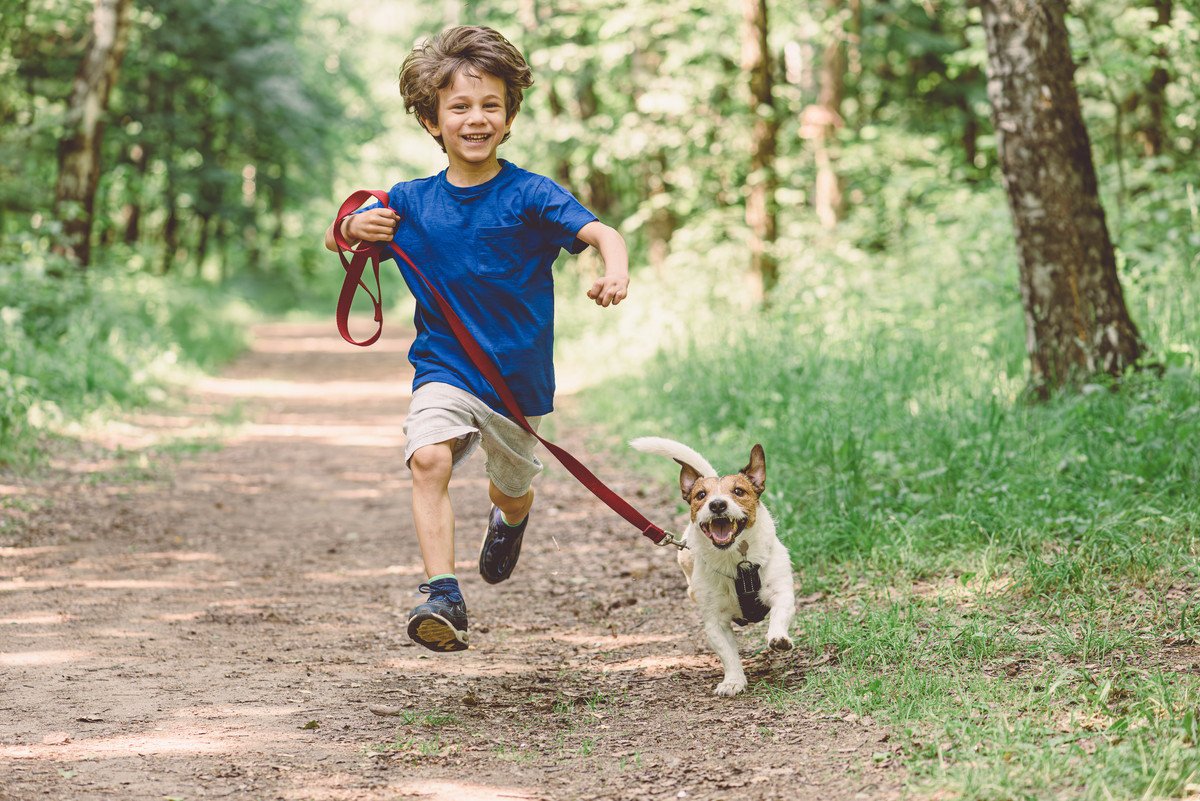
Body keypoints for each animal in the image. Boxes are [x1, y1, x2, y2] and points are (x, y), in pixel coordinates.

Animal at [628, 438, 796, 695]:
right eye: (701, 495)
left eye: (738, 491)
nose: (717, 504)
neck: (736, 561)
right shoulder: (715, 623)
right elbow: (728, 654)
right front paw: (733, 680)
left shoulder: (781, 592)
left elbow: (779, 614)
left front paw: (778, 638)